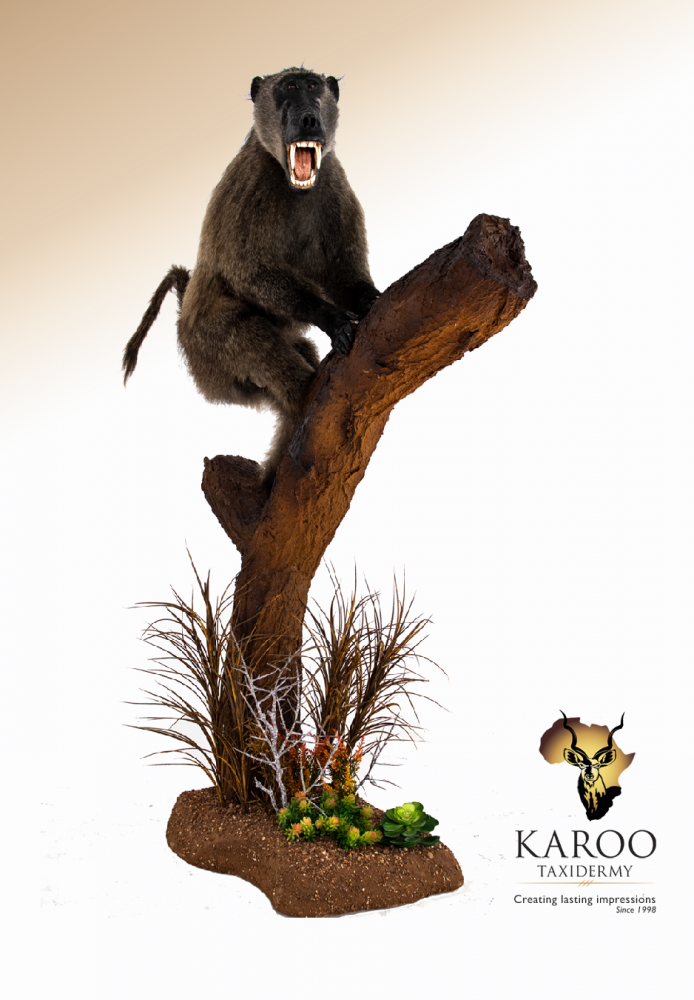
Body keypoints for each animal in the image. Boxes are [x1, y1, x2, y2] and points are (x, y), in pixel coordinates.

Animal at [123, 67, 380, 482]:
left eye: (313, 87)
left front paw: (369, 298)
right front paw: (331, 318)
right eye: (288, 88)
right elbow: (247, 269)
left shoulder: (333, 181)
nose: (309, 119)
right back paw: (302, 399)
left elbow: (343, 274)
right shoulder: (250, 188)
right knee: (246, 331)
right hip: (205, 349)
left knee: (294, 348)